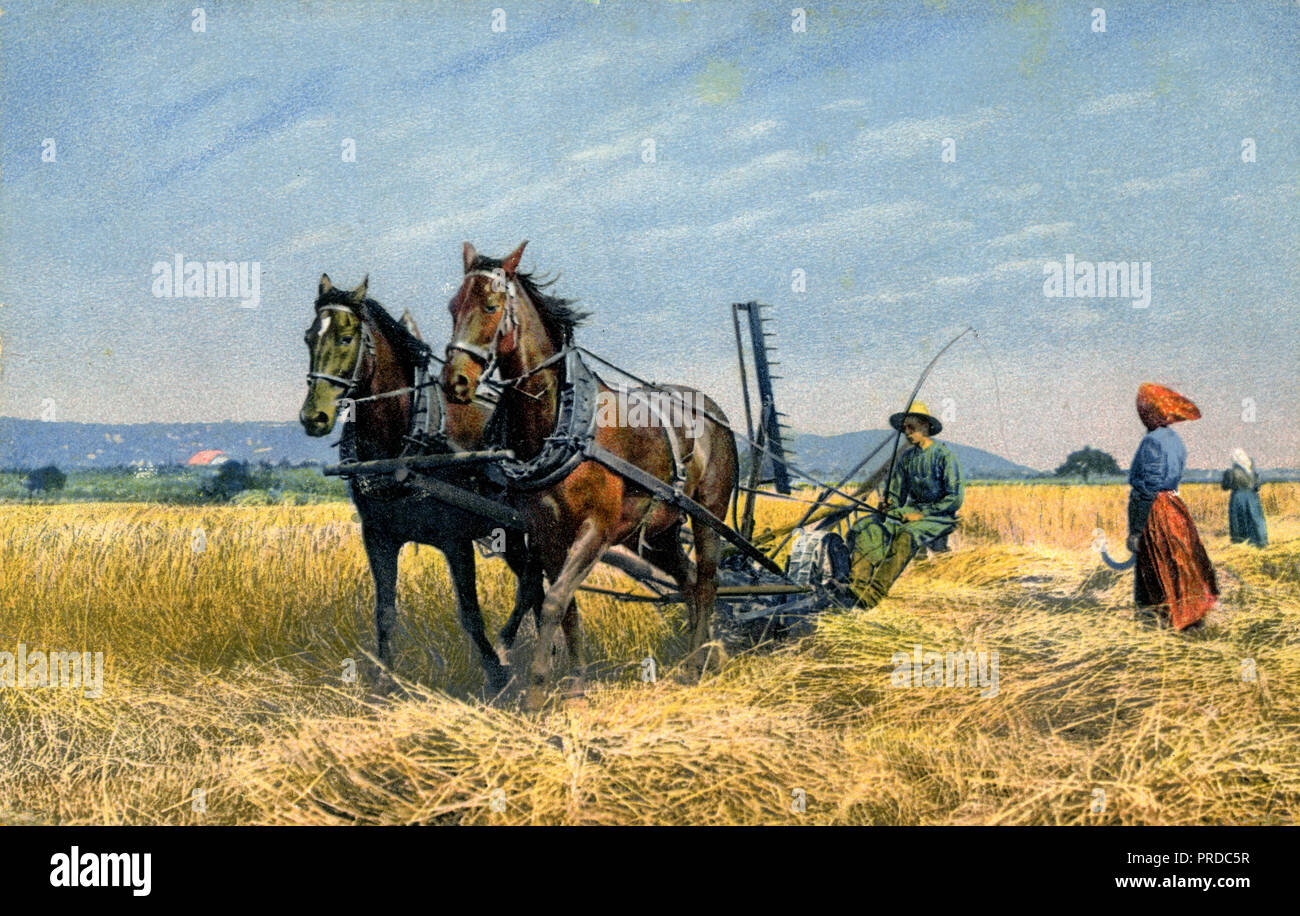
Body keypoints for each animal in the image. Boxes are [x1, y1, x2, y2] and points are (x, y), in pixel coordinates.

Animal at [300, 272, 543, 691]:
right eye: (308, 337)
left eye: (346, 337)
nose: (313, 417)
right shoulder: (378, 536)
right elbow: (384, 612)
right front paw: (383, 683)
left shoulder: (456, 540)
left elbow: (469, 614)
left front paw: (496, 675)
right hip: (510, 532)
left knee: (534, 585)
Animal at [439, 242, 738, 706]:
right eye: (453, 306)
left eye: (490, 305)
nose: (454, 381)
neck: (564, 426)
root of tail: (714, 412)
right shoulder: (545, 532)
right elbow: (565, 606)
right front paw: (576, 683)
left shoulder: (595, 528)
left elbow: (553, 601)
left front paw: (537, 691)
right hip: (656, 532)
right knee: (687, 581)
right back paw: (706, 654)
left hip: (708, 514)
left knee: (707, 580)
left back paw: (695, 665)